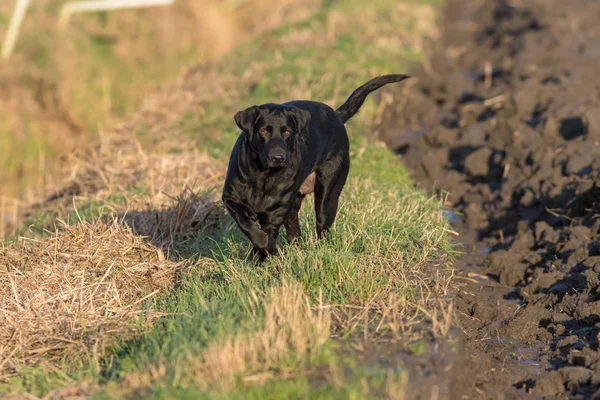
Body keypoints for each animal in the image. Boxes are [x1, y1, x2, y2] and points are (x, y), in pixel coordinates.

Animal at [223, 74, 410, 262]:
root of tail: (336, 115)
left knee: (322, 227)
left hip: (327, 194)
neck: (264, 176)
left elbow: (263, 240)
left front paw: (263, 253)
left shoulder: (275, 213)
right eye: (263, 131)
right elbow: (246, 224)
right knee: (294, 229)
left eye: (287, 132)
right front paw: (260, 254)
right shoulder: (230, 198)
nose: (278, 157)